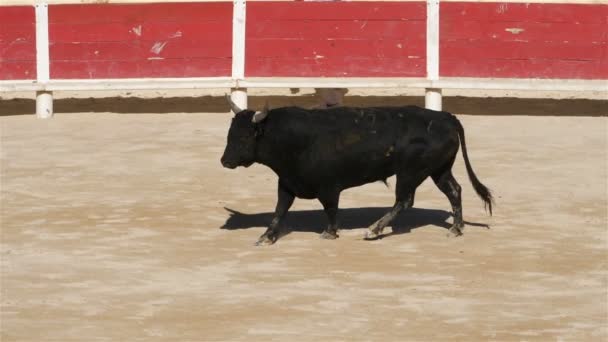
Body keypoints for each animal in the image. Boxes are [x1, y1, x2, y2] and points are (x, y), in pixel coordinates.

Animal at [221, 99, 492, 246]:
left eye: (244, 137)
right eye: (230, 134)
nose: (224, 161)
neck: (291, 139)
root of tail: (446, 117)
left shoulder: (329, 187)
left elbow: (330, 209)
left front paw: (329, 233)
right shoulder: (287, 182)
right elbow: (279, 211)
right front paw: (266, 237)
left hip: (410, 172)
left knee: (404, 200)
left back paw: (373, 230)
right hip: (439, 169)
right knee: (454, 191)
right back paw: (456, 228)